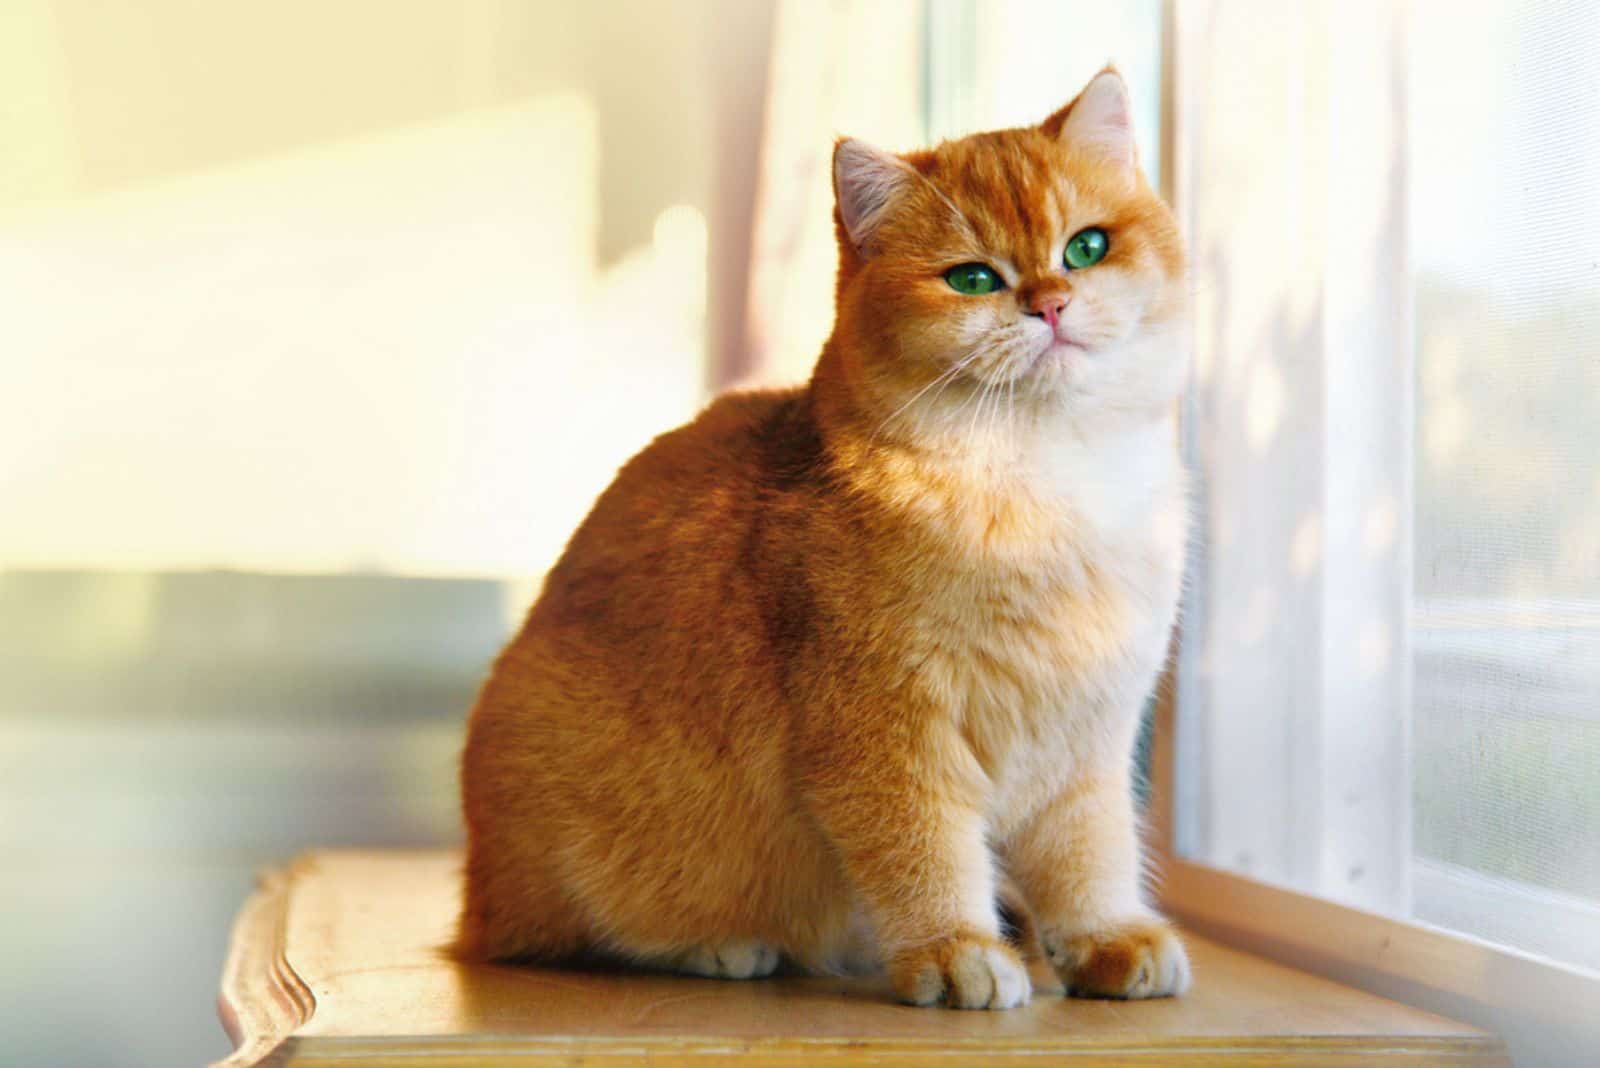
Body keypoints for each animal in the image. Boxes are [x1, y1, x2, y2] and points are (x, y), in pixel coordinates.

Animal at [464, 68, 1190, 1010]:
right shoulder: (882, 732)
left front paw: (1105, 939)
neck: (1047, 487)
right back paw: (722, 946)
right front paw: (955, 950)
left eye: (1086, 248)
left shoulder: (1088, 736)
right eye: (972, 277)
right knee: (586, 937)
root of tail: (474, 906)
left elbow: (1089, 851)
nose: (1051, 303)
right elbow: (923, 851)